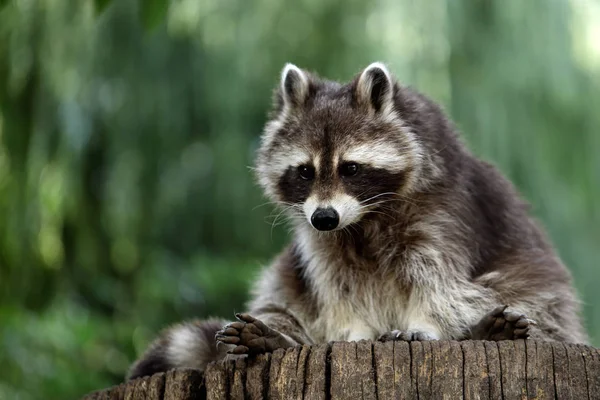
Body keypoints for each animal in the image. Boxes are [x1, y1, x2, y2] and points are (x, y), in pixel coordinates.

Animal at [127, 61, 584, 378]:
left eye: (350, 168)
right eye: (305, 171)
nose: (325, 217)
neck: (362, 219)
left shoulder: (446, 211)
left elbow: (440, 282)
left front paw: (429, 325)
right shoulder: (318, 239)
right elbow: (338, 287)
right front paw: (353, 336)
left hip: (541, 293)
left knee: (531, 297)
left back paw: (481, 332)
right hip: (286, 281)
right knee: (280, 296)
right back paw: (279, 339)